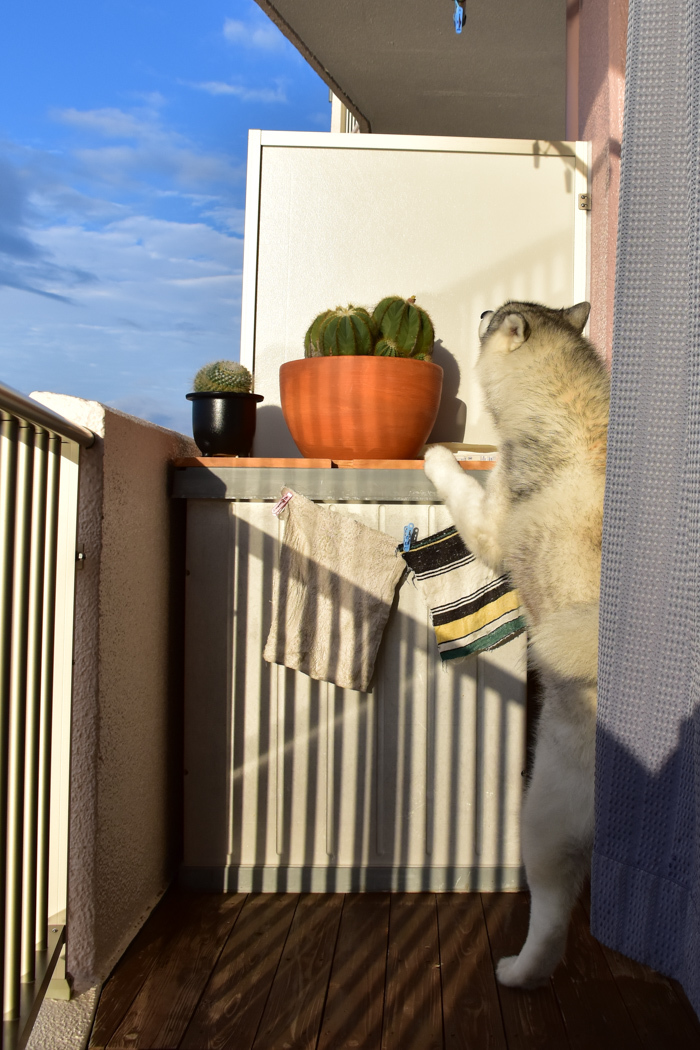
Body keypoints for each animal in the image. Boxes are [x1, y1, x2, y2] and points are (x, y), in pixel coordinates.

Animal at [423, 302, 608, 982]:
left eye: (497, 316)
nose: (480, 308)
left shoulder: (490, 523)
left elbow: (460, 484)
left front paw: (438, 455)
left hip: (540, 815)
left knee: (550, 919)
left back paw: (519, 972)